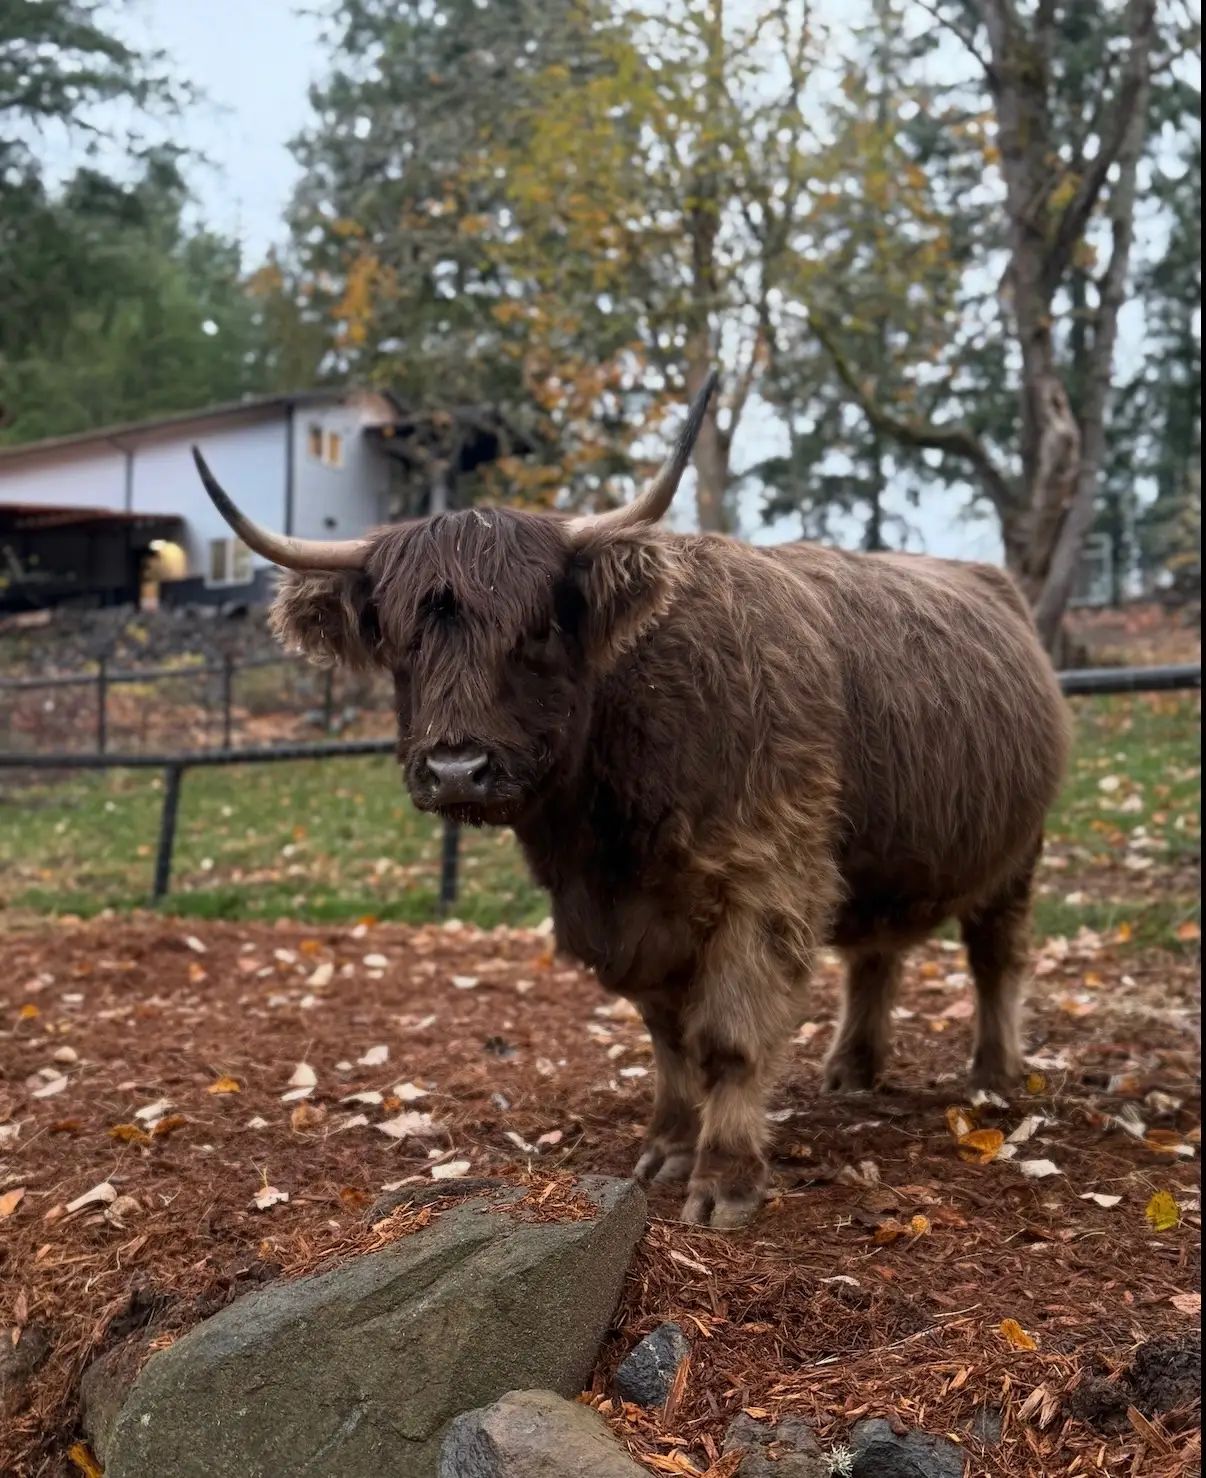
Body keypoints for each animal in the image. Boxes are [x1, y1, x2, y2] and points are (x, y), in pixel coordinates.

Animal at [191, 373, 1072, 1229]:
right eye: (397, 639)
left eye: (540, 628)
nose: (455, 768)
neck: (606, 831)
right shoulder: (626, 919)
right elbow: (667, 1039)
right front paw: (667, 1149)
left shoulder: (769, 877)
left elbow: (728, 1038)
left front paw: (725, 1178)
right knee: (876, 954)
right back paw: (853, 1068)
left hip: (1019, 851)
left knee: (996, 955)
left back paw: (993, 1074)